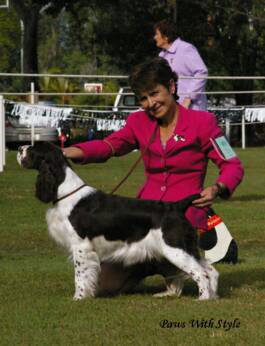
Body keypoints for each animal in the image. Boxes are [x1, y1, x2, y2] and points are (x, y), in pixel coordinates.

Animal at [17, 141, 218, 300]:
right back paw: (213, 297)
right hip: (185, 248)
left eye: (33, 148)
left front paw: (79, 298)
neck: (66, 191)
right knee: (211, 270)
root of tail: (176, 206)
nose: (19, 148)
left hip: (174, 248)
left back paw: (203, 299)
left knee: (201, 272)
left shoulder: (81, 245)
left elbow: (80, 275)